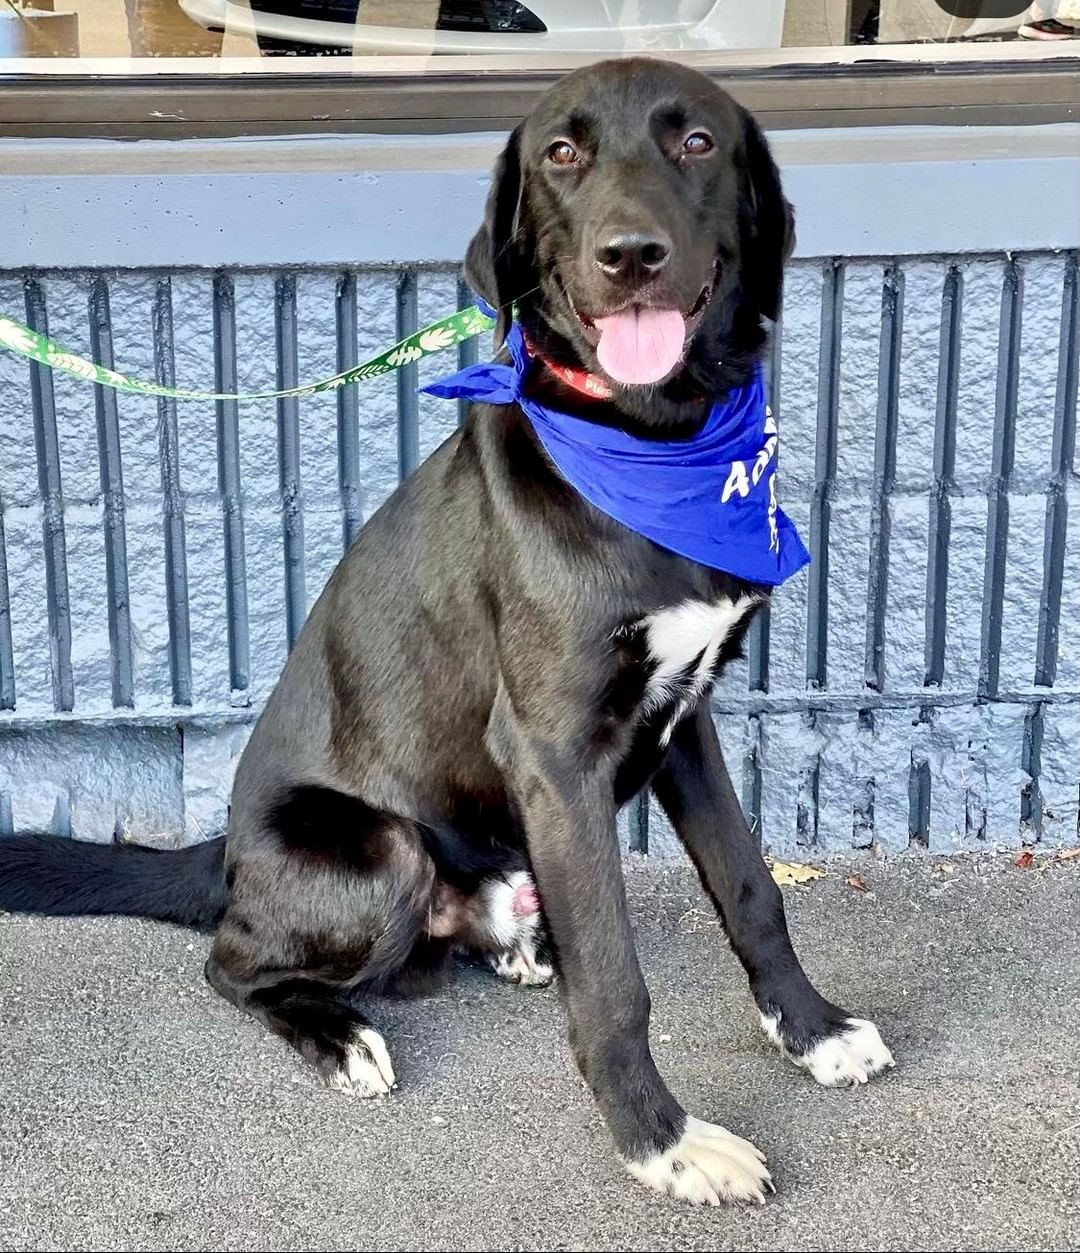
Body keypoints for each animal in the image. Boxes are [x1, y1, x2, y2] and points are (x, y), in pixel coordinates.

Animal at [0, 56, 897, 1202]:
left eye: (697, 142)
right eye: (561, 153)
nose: (629, 255)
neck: (656, 445)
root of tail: (226, 856)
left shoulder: (684, 715)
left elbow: (751, 887)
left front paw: (813, 1030)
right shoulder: (555, 752)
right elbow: (615, 979)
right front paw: (661, 1139)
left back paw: (512, 943)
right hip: (380, 851)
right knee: (231, 963)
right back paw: (337, 1032)